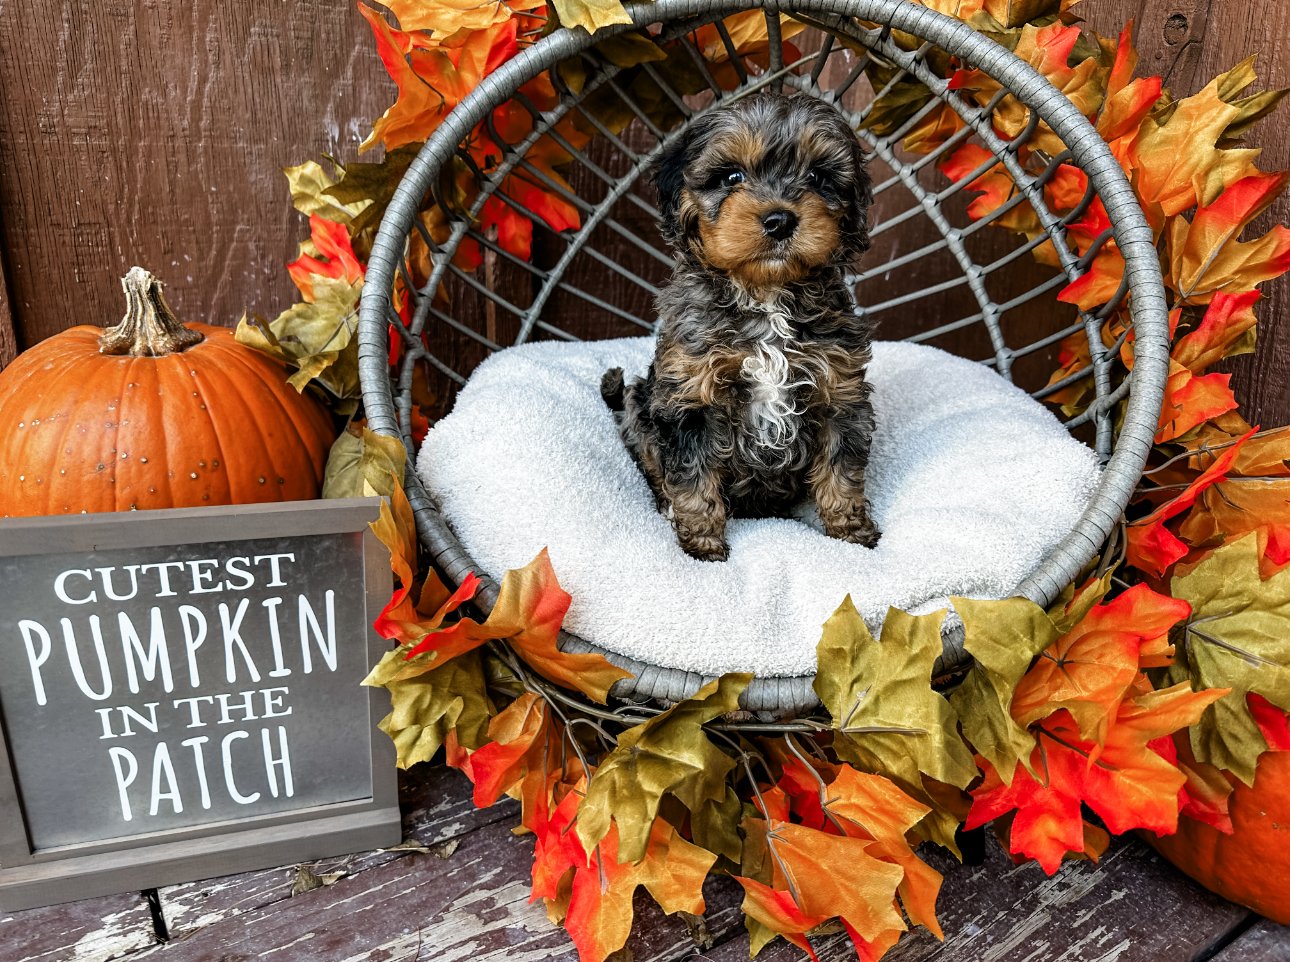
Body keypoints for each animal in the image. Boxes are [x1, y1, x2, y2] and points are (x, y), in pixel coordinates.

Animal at [601, 92, 882, 559]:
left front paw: (851, 533)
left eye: (818, 177)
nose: (780, 220)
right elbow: (692, 480)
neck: (765, 295)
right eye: (731, 176)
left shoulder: (839, 392)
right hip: (640, 405)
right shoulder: (688, 396)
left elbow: (842, 470)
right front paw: (703, 547)